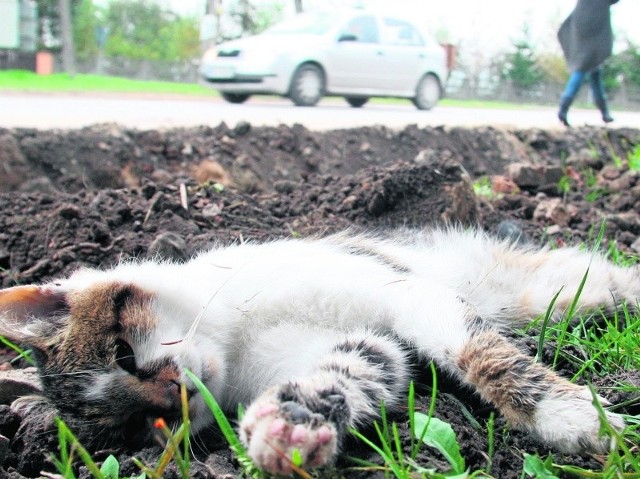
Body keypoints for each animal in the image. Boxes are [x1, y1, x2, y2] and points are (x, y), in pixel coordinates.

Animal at [0, 229, 636, 476]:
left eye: (123, 354)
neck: (234, 335)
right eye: (140, 430)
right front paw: (289, 425)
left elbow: (482, 354)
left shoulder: (403, 292)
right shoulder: (374, 343)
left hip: (556, 290)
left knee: (606, 279)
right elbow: (352, 369)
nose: (173, 397)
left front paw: (578, 419)